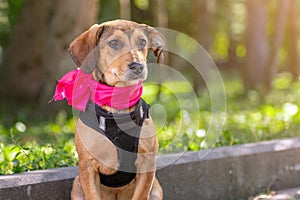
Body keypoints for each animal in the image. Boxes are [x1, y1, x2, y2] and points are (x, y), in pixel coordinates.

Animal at [63, 19, 165, 200]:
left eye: (142, 42)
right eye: (114, 43)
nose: (138, 66)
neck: (119, 103)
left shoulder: (147, 162)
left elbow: (140, 195)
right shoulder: (87, 166)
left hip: (156, 190)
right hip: (76, 186)